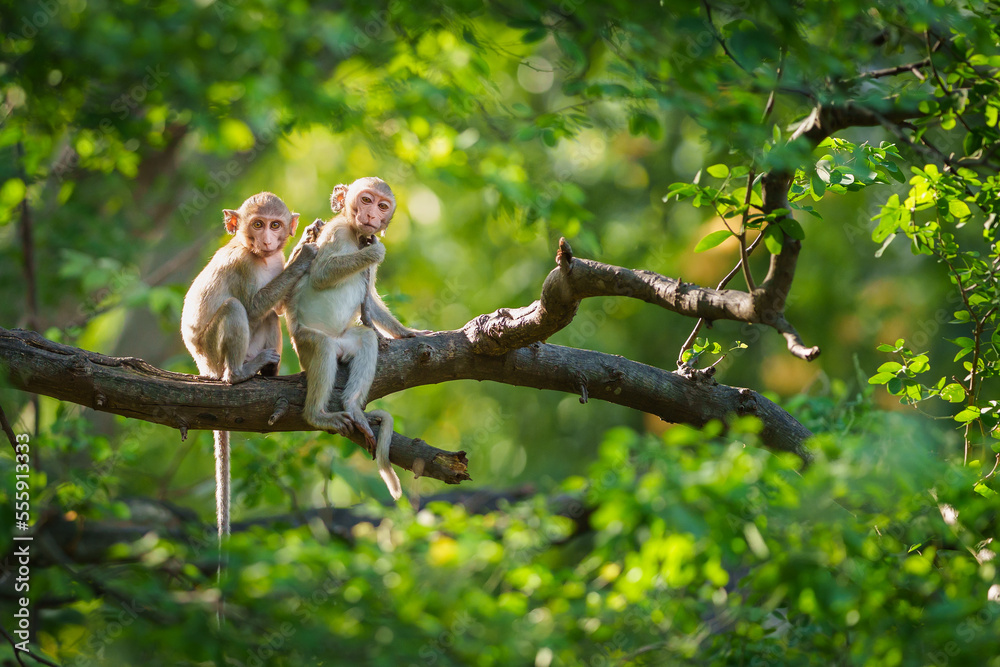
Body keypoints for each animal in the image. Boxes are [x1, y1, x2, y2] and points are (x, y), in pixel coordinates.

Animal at [181, 192, 317, 550]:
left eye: (275, 224)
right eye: (257, 224)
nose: (267, 238)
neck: (259, 256)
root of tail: (203, 366)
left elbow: (277, 309)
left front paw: (306, 239)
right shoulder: (241, 265)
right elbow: (253, 307)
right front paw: (304, 254)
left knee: (269, 318)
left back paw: (268, 371)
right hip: (213, 353)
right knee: (235, 308)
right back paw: (238, 375)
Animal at [284, 177, 428, 500]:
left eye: (383, 205)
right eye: (365, 200)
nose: (372, 215)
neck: (355, 235)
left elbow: (369, 300)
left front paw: (407, 332)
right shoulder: (335, 232)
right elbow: (322, 273)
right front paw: (375, 252)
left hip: (345, 341)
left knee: (366, 339)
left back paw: (352, 405)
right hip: (306, 342)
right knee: (322, 348)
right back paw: (316, 415)